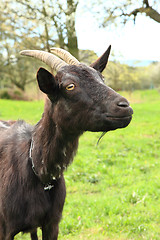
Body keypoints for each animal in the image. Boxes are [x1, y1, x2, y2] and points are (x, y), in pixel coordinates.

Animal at [0, 46, 133, 239]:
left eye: (102, 78)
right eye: (70, 86)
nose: (124, 106)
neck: (38, 171)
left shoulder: (52, 224)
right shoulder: (5, 229)